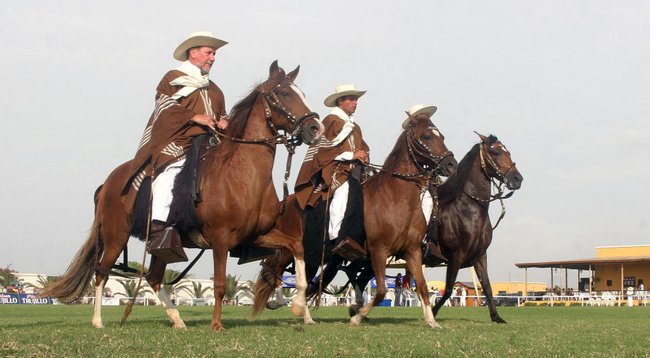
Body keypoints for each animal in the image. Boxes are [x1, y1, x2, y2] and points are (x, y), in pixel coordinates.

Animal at [41, 60, 322, 330]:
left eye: (302, 93)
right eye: (283, 93)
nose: (315, 128)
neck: (241, 175)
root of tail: (108, 182)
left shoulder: (257, 236)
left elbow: (296, 248)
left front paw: (299, 306)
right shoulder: (220, 239)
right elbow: (220, 285)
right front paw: (216, 325)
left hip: (161, 247)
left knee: (154, 277)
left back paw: (178, 320)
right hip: (115, 236)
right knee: (101, 273)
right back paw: (98, 321)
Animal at [253, 112, 456, 328]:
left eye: (442, 136)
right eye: (427, 137)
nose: (451, 164)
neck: (396, 198)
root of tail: (286, 203)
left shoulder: (412, 251)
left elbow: (423, 286)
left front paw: (432, 321)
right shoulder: (378, 250)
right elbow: (381, 290)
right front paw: (357, 316)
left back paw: (302, 314)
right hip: (290, 250)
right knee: (274, 271)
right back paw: (284, 304)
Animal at [430, 133, 520, 324]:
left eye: (507, 151)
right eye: (495, 152)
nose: (518, 178)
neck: (470, 209)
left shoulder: (480, 255)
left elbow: (487, 286)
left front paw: (496, 317)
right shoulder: (456, 255)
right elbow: (448, 289)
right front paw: (432, 312)